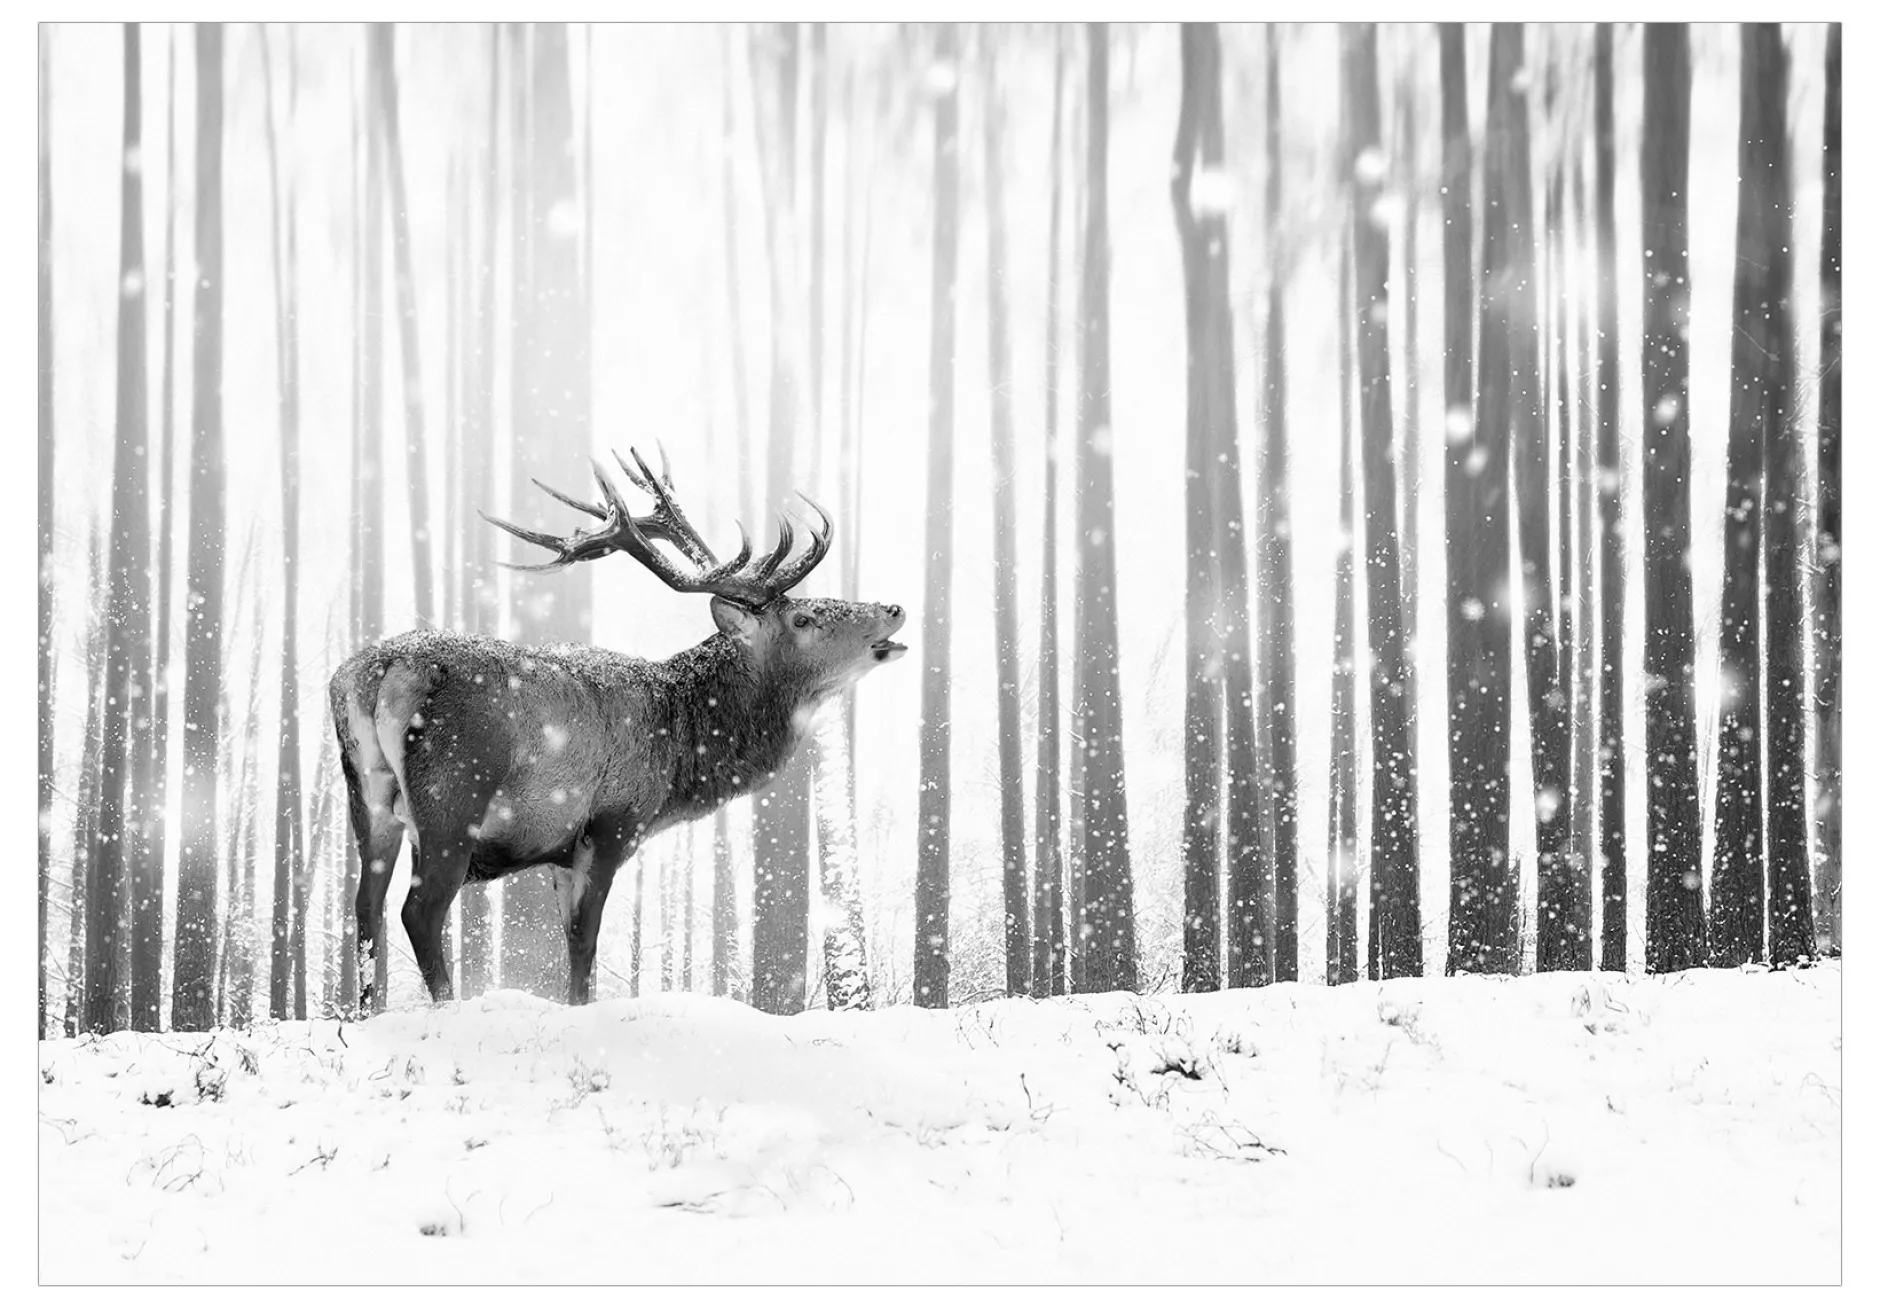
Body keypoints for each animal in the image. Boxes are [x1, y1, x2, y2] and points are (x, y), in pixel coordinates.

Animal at [328, 447, 906, 1011]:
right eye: (802, 619)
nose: (894, 608)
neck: (679, 753)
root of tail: (379, 671)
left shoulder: (559, 850)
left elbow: (570, 940)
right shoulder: (612, 821)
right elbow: (586, 941)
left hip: (368, 797)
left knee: (365, 908)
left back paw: (368, 1012)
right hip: (453, 795)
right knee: (420, 910)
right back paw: (447, 1008)